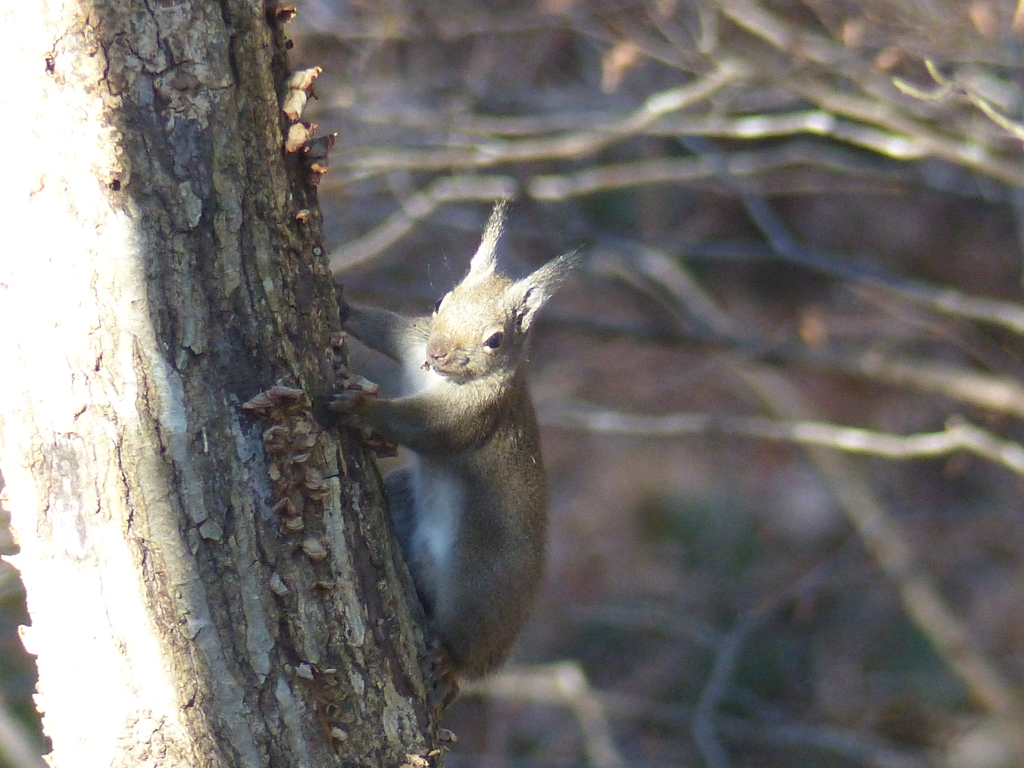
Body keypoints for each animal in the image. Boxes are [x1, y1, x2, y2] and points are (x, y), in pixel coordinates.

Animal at [331, 202, 581, 704]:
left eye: (495, 339)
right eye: (440, 303)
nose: (439, 352)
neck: (444, 378)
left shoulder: (472, 416)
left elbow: (422, 427)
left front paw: (364, 409)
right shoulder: (412, 340)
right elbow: (384, 327)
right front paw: (345, 308)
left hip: (479, 586)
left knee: (466, 640)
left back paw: (450, 663)